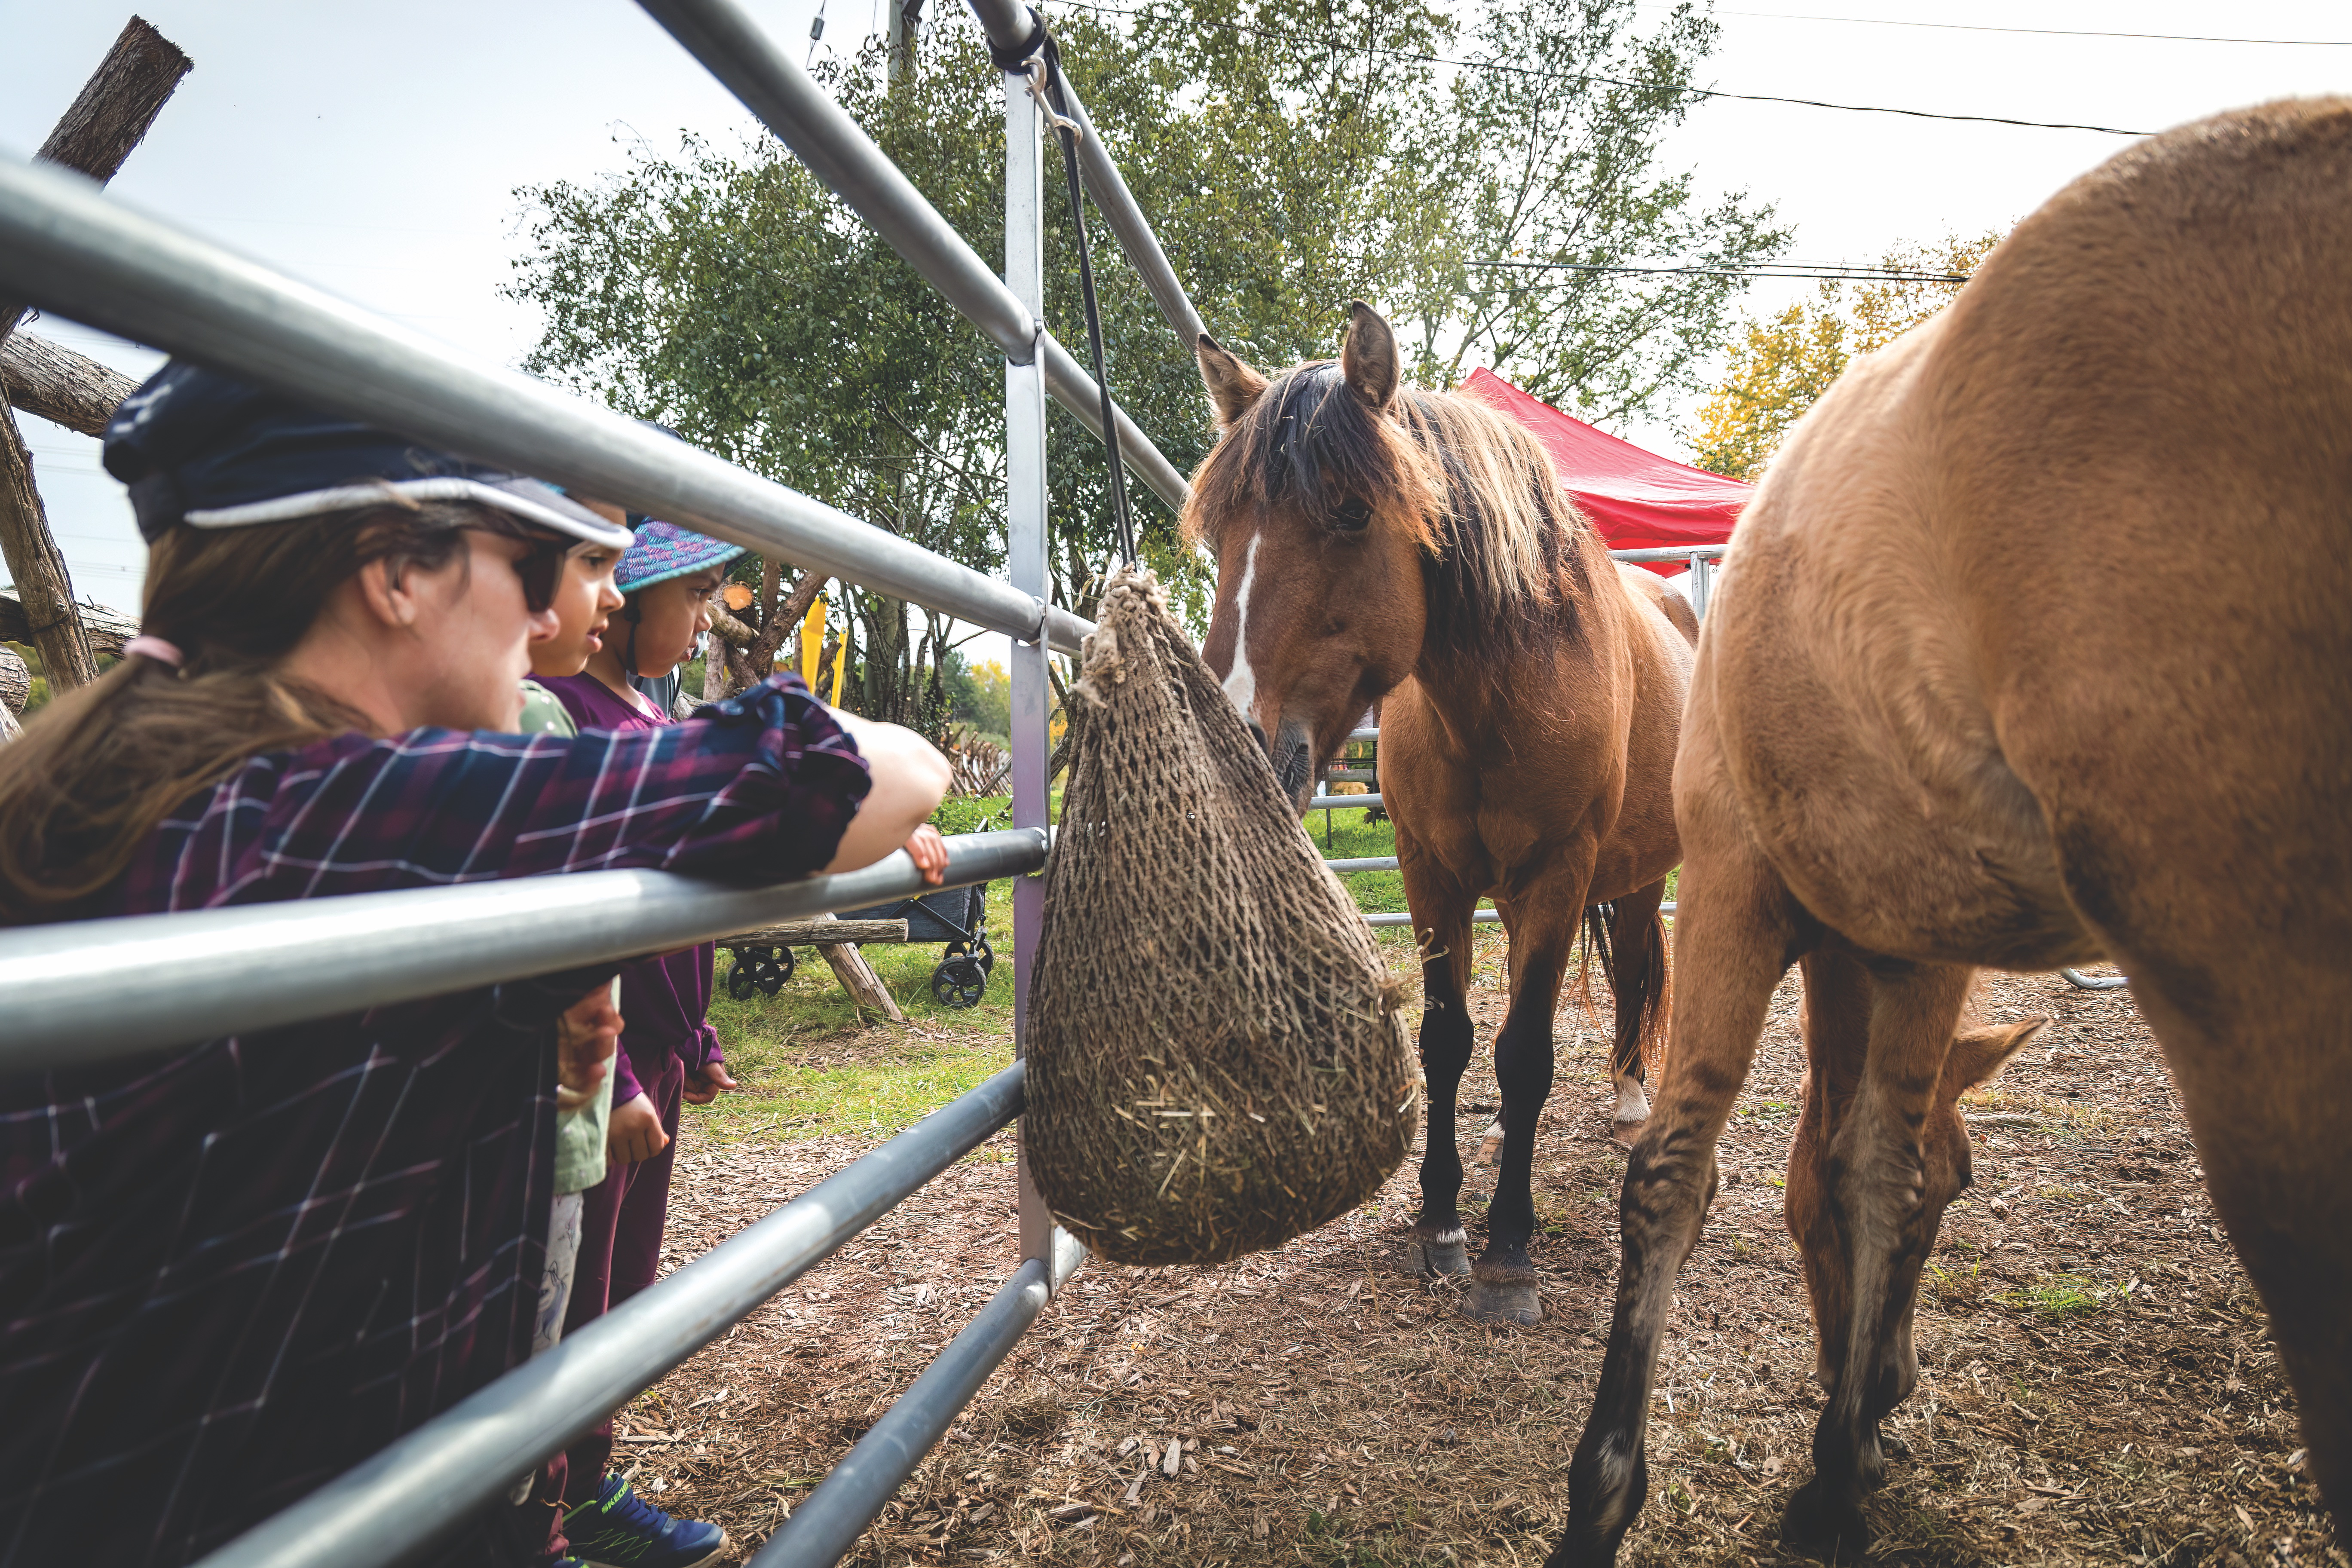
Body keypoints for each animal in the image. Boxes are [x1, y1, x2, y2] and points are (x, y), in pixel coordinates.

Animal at [1185, 303, 1698, 1325]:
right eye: (1219, 530)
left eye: (1351, 511)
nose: (1240, 748)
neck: (1500, 699)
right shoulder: (1432, 875)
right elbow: (1450, 1040)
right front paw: (1441, 1219)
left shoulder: (1559, 877)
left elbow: (1526, 1052)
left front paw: (1508, 1251)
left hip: (1637, 874)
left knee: (1638, 968)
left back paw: (1630, 1096)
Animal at [1555, 98, 2352, 1563]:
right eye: (1971, 1190)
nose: (1901, 1389)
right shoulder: (1834, 921)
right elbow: (1819, 1166)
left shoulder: (1828, 925)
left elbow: (1796, 1169)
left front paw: (1800, 1469)